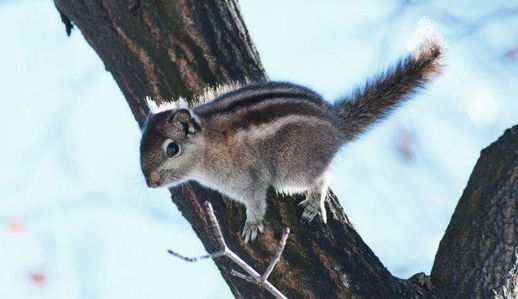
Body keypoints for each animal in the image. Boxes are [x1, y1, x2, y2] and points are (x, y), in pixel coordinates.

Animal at [140, 21, 444, 244]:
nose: (150, 183)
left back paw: (314, 202)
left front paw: (252, 223)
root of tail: (336, 125)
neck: (207, 143)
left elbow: (256, 201)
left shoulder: (248, 178)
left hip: (293, 167)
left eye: (172, 148)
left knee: (323, 175)